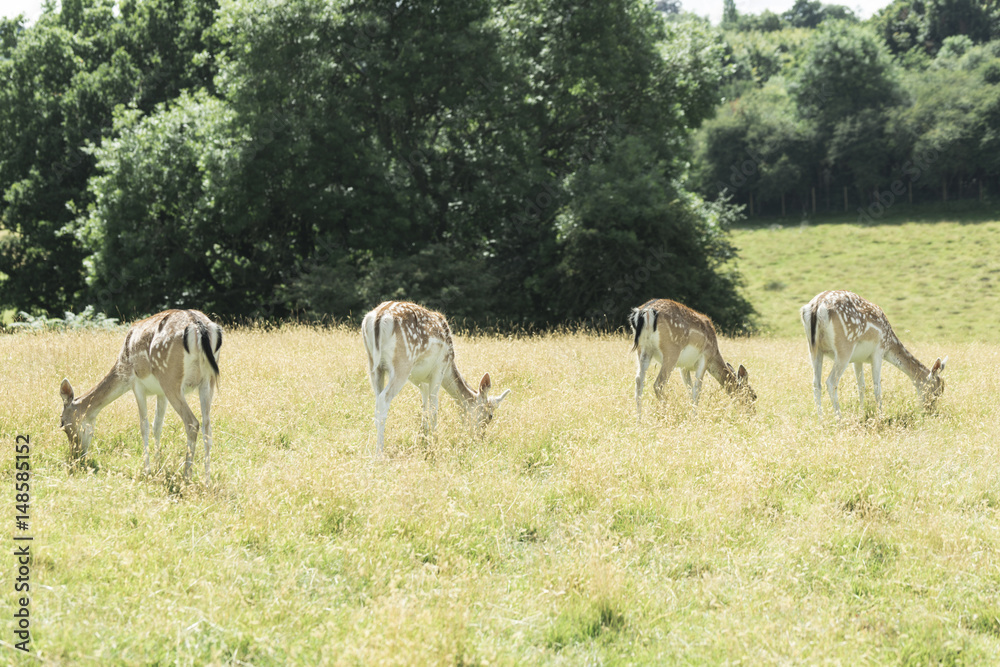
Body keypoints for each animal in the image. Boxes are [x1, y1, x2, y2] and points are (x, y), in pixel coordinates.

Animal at [59, 309, 222, 482]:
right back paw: (207, 480)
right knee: (207, 426)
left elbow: (144, 426)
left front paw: (147, 470)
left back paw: (187, 476)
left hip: (170, 377)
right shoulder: (160, 392)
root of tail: (198, 325)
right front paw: (159, 467)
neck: (122, 367)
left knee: (192, 423)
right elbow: (157, 425)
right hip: (207, 381)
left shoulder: (136, 384)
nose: (75, 456)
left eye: (63, 424)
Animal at [361, 301, 510, 453]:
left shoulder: (419, 379)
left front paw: (423, 437)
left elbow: (424, 404)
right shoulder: (440, 368)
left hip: (374, 365)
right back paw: (379, 452)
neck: (450, 366)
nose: (479, 439)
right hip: (402, 363)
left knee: (377, 400)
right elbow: (434, 408)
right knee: (383, 399)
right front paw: (435, 443)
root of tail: (378, 317)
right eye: (490, 416)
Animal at [800, 290, 946, 419]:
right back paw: (839, 420)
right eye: (936, 391)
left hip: (814, 348)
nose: (930, 412)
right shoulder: (878, 351)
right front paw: (880, 416)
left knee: (816, 383)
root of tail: (817, 306)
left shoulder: (857, 359)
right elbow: (877, 386)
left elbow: (861, 386)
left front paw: (861, 413)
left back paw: (821, 420)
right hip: (844, 347)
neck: (889, 344)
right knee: (831, 382)